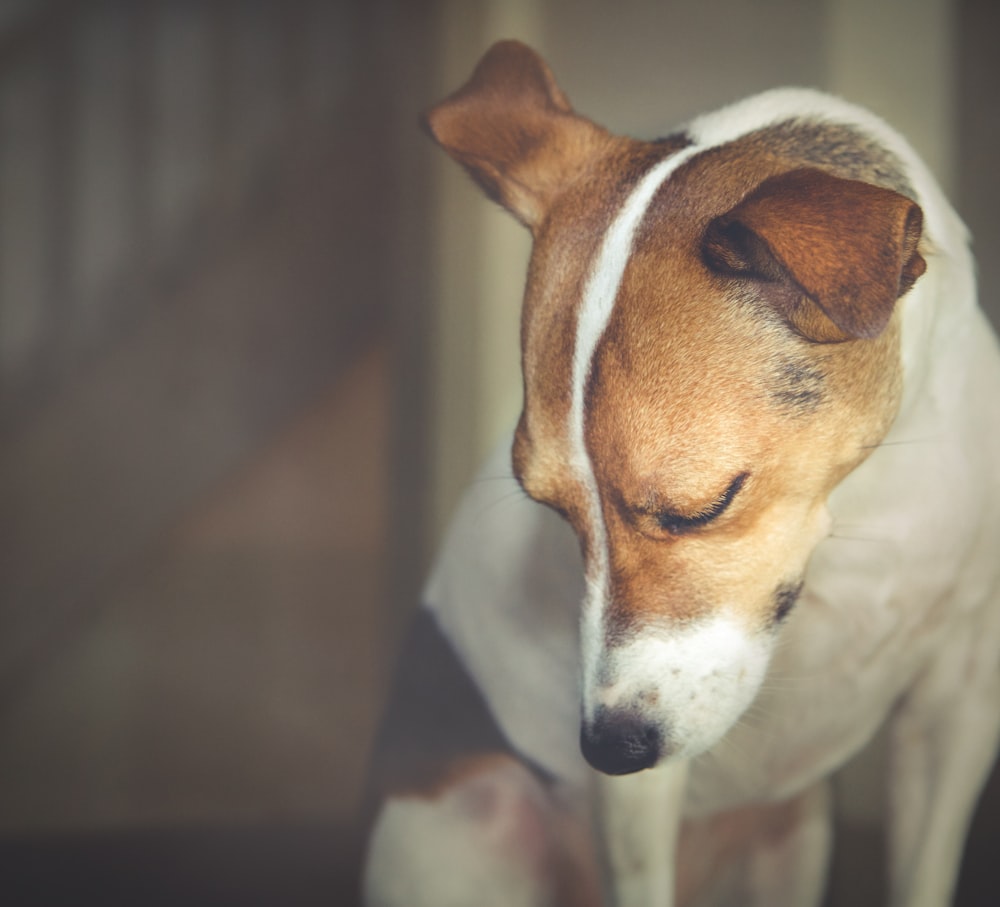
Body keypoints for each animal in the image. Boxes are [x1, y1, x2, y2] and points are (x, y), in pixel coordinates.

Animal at [362, 40, 1000, 907]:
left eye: (700, 507)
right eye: (553, 511)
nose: (609, 748)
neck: (861, 502)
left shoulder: (957, 704)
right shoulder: (639, 794)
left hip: (794, 834)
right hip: (472, 821)